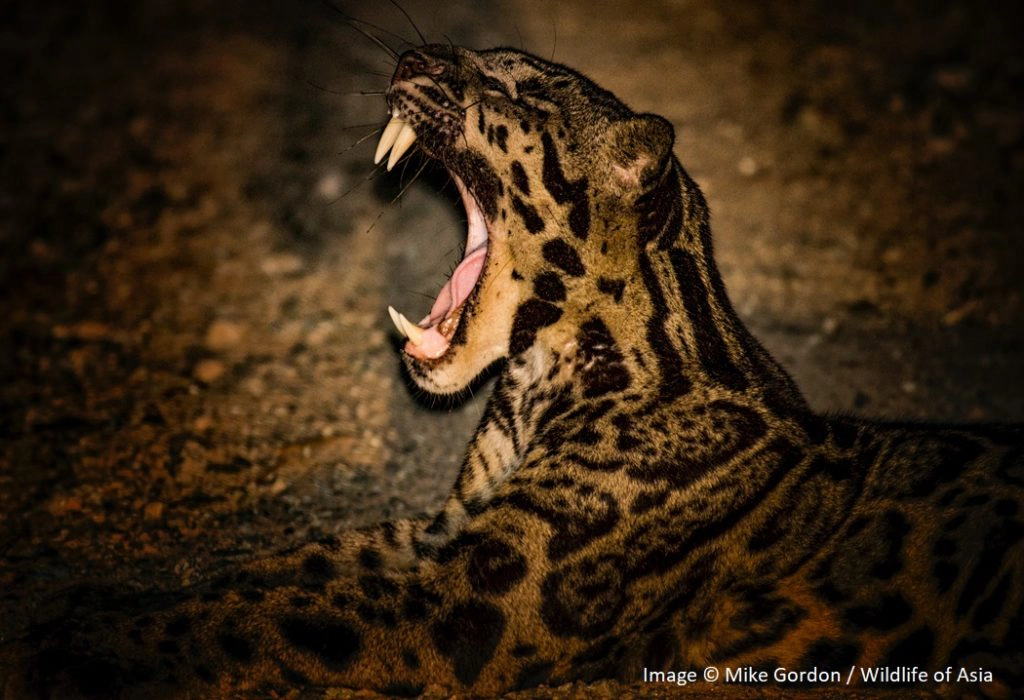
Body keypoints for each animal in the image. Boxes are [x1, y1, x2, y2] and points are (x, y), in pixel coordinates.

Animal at [3, 43, 1023, 699]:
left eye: (511, 86)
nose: (411, 58)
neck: (538, 381)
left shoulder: (484, 589)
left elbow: (276, 614)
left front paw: (88, 643)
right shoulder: (444, 533)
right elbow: (275, 572)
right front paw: (105, 601)